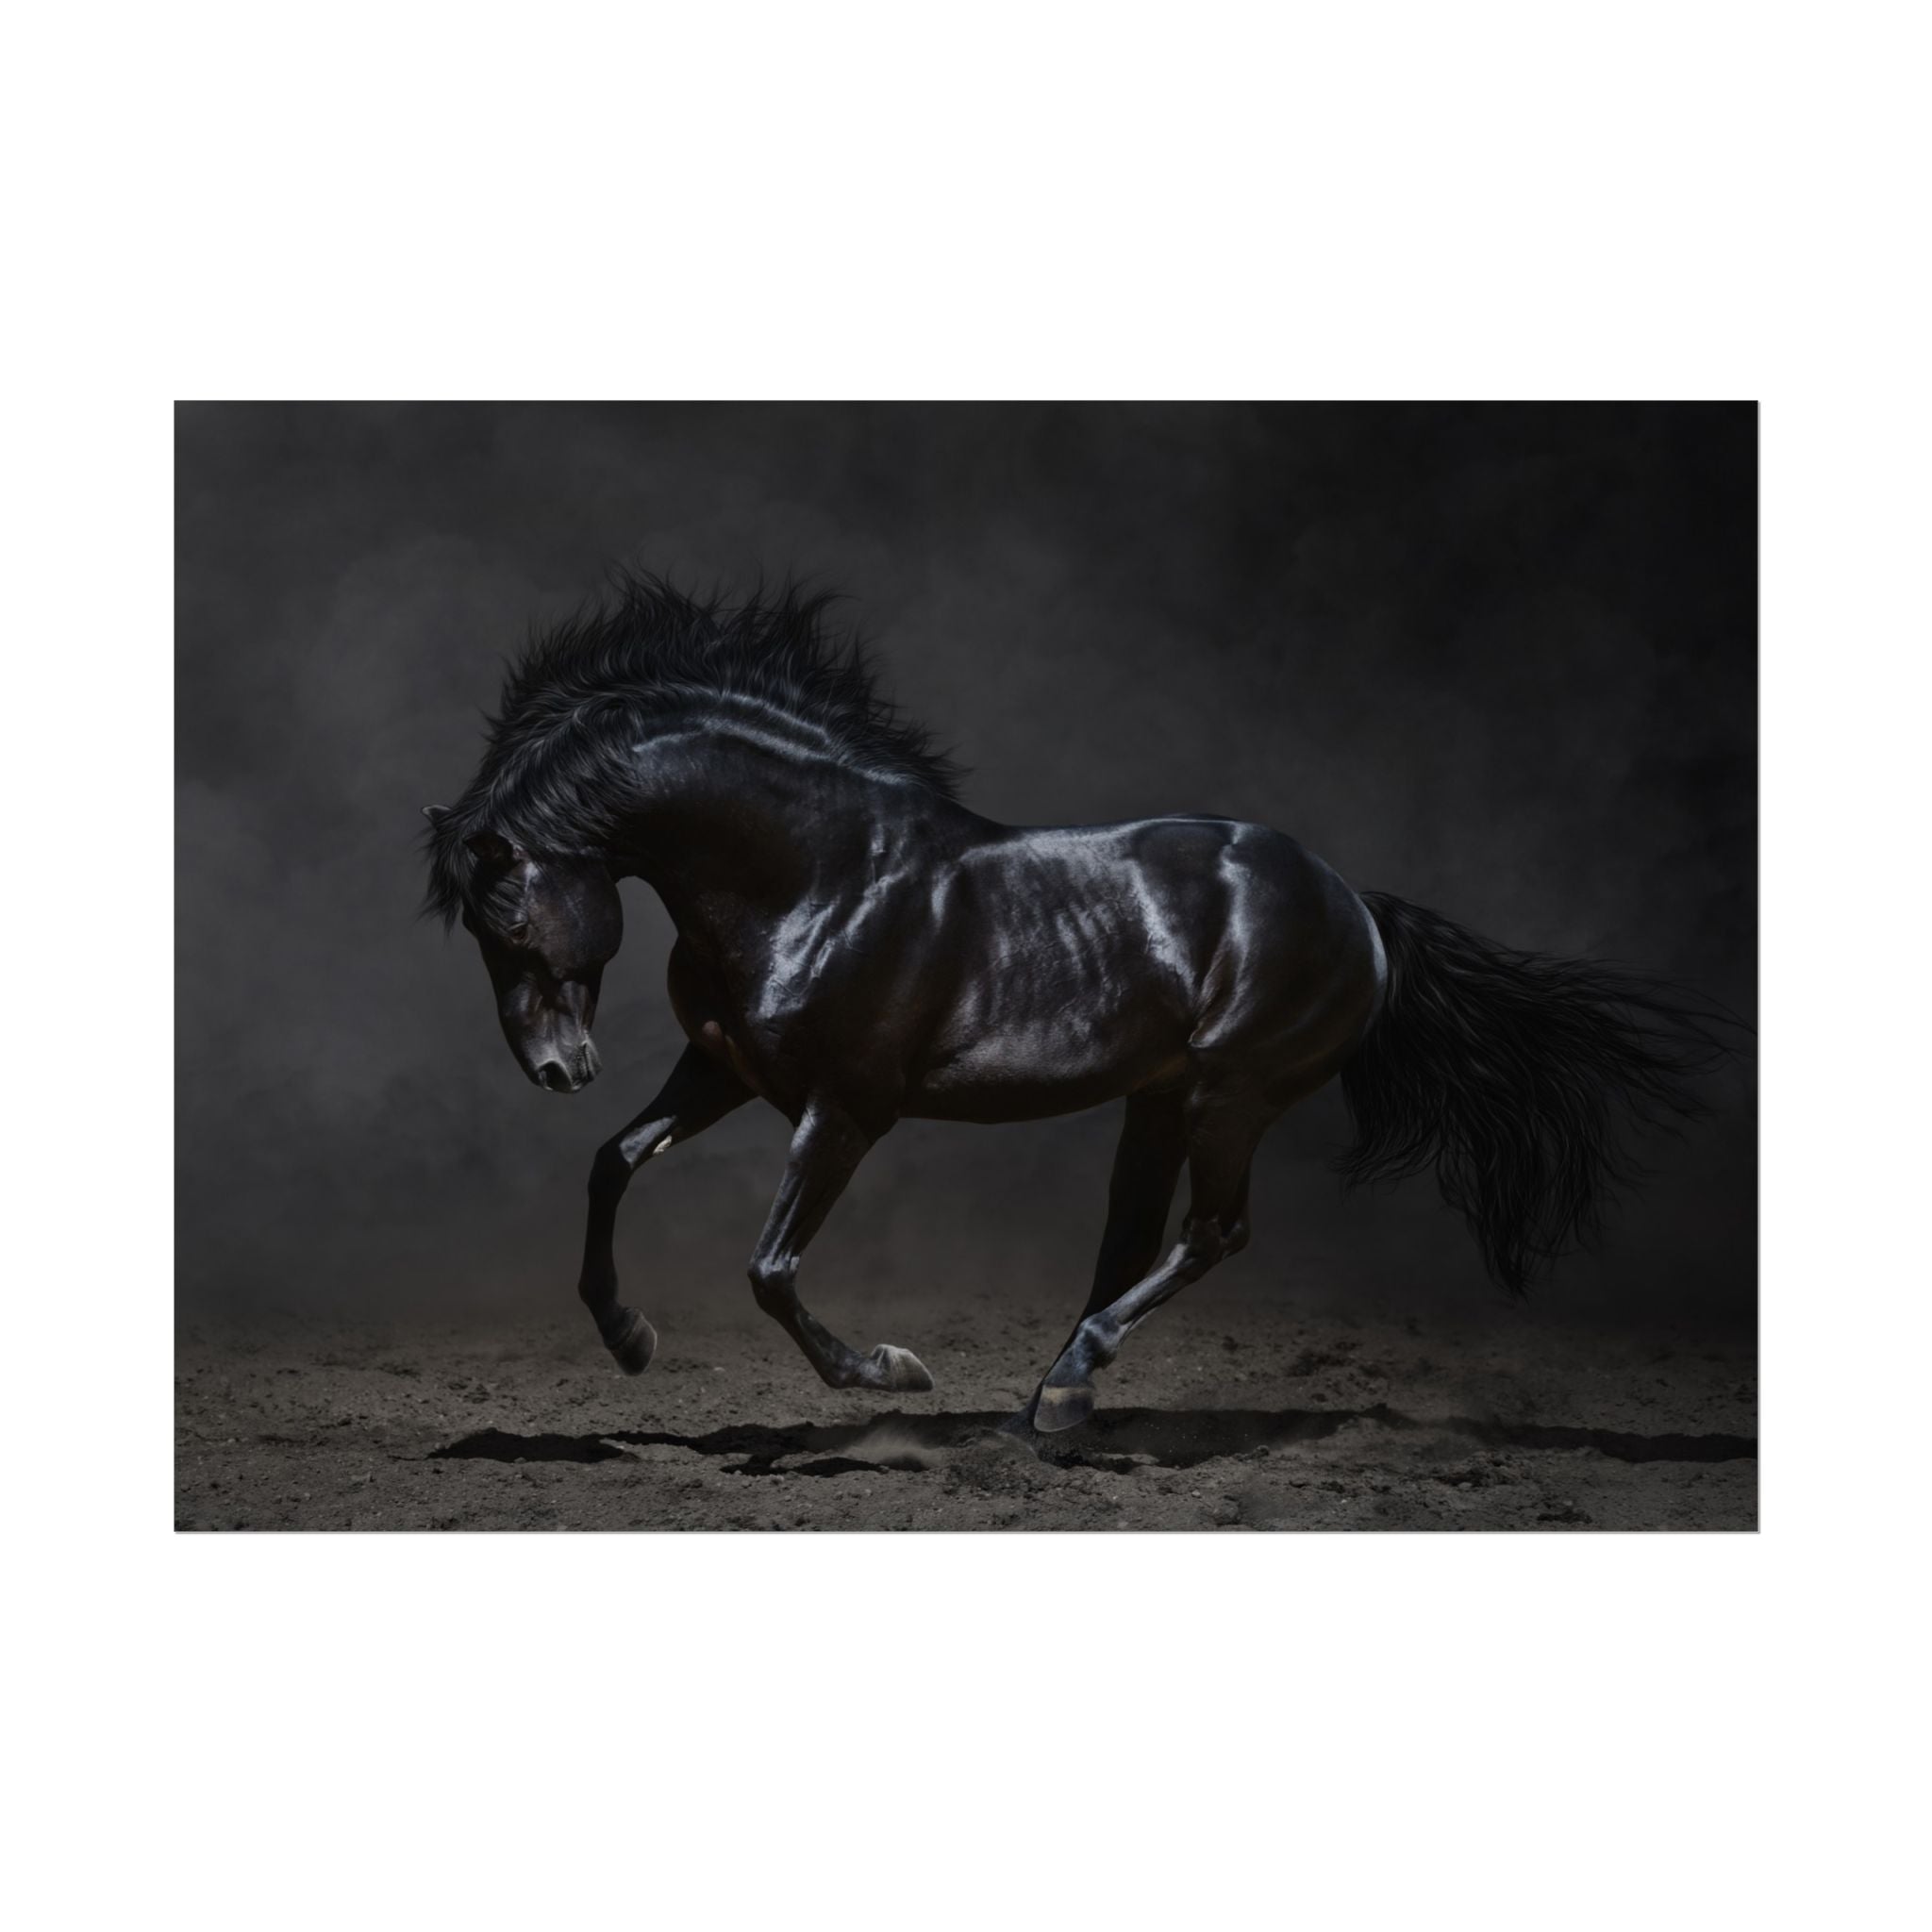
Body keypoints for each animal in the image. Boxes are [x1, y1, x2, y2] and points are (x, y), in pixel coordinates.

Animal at [423, 574, 1726, 1433]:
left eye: (507, 919)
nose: (555, 1068)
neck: (819, 875)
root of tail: (1355, 903)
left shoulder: (844, 1108)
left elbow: (771, 1267)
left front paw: (890, 1371)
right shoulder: (727, 1070)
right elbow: (613, 1161)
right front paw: (628, 1338)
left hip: (1230, 1092)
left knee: (1211, 1232)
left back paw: (1063, 1387)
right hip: (1160, 1098)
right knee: (1131, 1241)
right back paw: (1052, 1398)